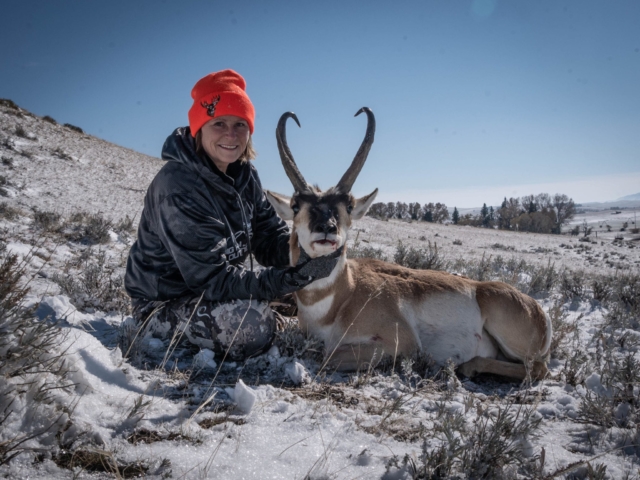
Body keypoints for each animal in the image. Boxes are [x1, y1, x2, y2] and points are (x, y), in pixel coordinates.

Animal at [268, 108, 552, 378]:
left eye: (348, 206)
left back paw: (468, 367)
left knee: (538, 368)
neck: (344, 294)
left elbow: (328, 355)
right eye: (296, 205)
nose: (326, 229)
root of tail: (537, 309)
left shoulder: (402, 343)